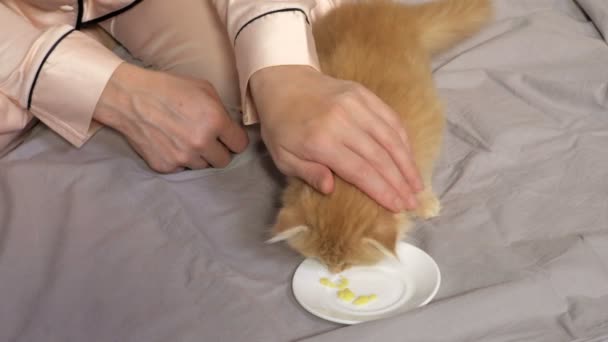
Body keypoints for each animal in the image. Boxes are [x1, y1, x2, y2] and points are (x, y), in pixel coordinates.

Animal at [268, 0, 492, 272]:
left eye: (348, 264)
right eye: (322, 259)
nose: (334, 272)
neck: (346, 185)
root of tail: (386, 7)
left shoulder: (425, 135)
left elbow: (422, 178)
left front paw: (424, 202)